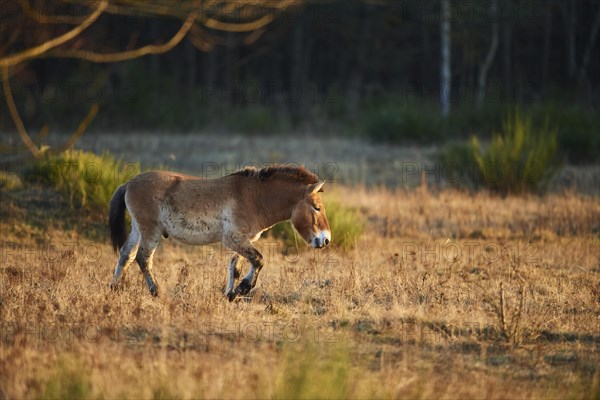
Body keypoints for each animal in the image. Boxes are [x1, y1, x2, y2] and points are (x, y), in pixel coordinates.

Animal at [108, 165, 332, 300]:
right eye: (317, 208)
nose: (325, 240)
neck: (254, 198)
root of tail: (128, 183)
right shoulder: (235, 239)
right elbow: (259, 260)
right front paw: (243, 288)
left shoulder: (241, 241)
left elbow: (236, 267)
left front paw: (231, 294)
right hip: (150, 231)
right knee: (143, 258)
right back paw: (156, 292)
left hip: (138, 229)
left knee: (126, 255)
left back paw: (114, 289)